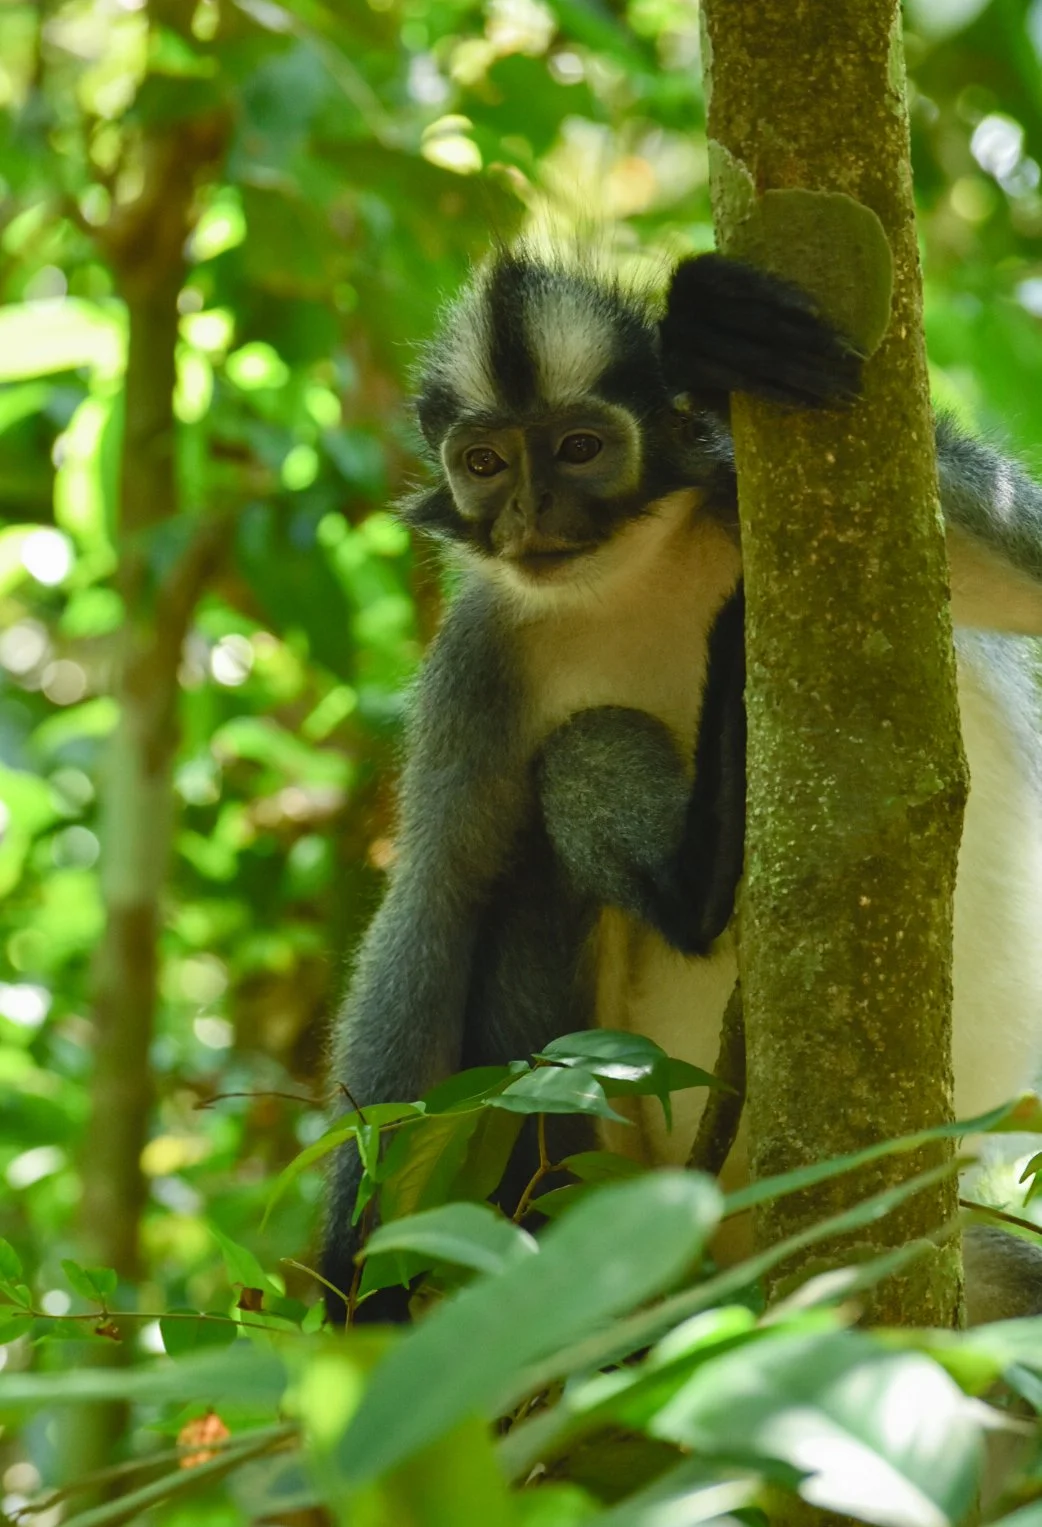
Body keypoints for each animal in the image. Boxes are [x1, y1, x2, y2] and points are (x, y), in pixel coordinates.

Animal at [321, 247, 1042, 1323]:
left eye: (579, 448)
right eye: (485, 465)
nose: (531, 516)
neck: (632, 572)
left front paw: (710, 335)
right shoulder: (479, 667)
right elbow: (436, 900)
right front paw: (351, 1298)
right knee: (564, 787)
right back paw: (701, 877)